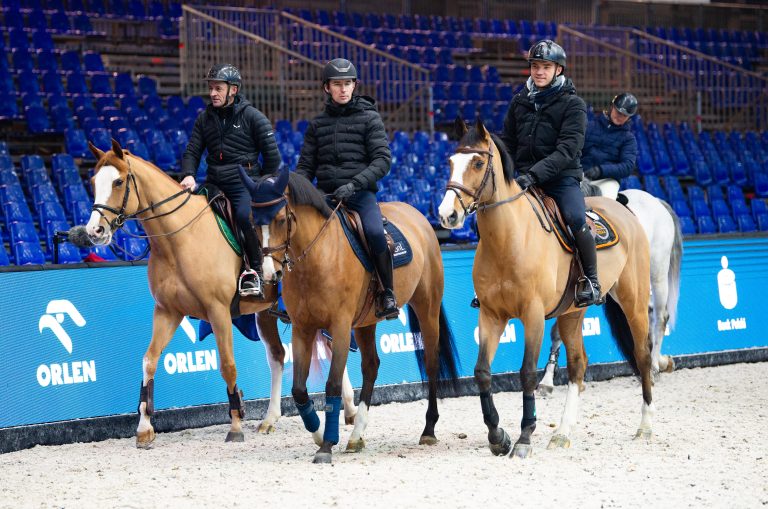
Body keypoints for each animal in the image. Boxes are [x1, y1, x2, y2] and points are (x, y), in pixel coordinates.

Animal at [82, 141, 358, 446]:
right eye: (93, 182)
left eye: (118, 182)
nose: (94, 231)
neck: (180, 239)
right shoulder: (167, 311)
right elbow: (149, 361)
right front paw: (144, 428)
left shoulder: (218, 312)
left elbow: (227, 365)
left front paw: (235, 424)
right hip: (268, 313)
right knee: (279, 356)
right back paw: (273, 418)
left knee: (329, 347)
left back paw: (349, 409)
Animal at [240, 165, 460, 462]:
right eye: (253, 221)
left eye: (281, 218)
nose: (267, 274)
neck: (318, 257)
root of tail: (417, 216)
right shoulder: (303, 329)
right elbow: (299, 390)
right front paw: (319, 433)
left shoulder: (341, 326)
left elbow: (332, 384)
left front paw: (326, 444)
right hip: (366, 323)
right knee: (371, 366)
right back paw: (357, 435)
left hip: (427, 306)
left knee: (431, 362)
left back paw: (428, 430)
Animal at [438, 119, 656, 456]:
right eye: (450, 162)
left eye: (477, 163)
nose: (447, 215)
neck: (509, 239)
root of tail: (624, 211)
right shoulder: (491, 315)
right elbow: (482, 372)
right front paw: (498, 436)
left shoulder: (533, 315)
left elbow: (527, 372)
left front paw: (524, 438)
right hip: (572, 314)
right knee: (578, 364)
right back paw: (563, 432)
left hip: (633, 301)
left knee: (642, 353)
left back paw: (644, 426)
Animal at [540, 184, 684, 392]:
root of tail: (657, 201)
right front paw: (547, 379)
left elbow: (559, 331)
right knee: (647, 314)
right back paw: (659, 363)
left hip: (657, 273)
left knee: (660, 317)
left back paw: (656, 364)